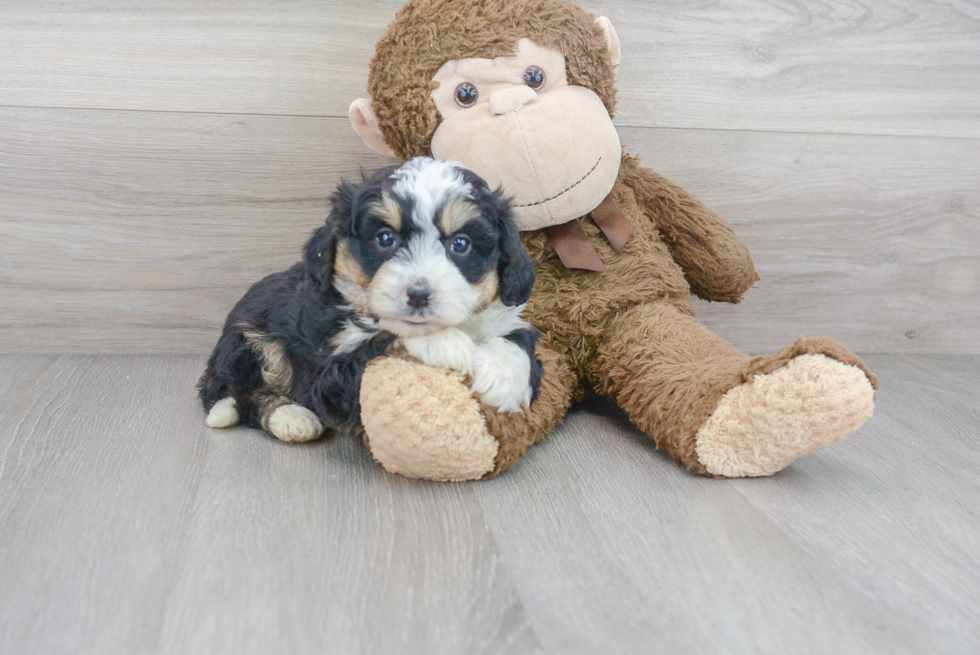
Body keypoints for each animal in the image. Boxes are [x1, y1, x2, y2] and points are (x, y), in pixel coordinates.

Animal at [198, 160, 544, 446]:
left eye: (461, 244)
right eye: (385, 239)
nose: (418, 295)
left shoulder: (507, 318)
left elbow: (517, 342)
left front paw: (503, 379)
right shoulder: (330, 377)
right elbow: (385, 339)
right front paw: (448, 344)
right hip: (250, 343)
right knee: (245, 396)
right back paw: (292, 417)